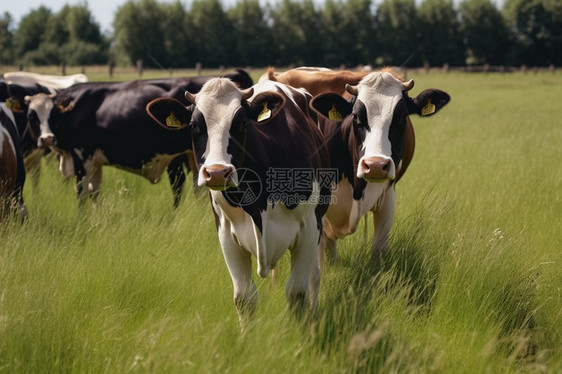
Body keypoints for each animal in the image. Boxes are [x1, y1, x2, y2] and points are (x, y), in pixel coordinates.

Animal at [25, 70, 252, 207]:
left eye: (51, 115)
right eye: (31, 116)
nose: (47, 139)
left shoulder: (82, 157)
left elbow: (81, 194)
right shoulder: (95, 163)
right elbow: (94, 193)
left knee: (181, 189)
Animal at [145, 79, 332, 324]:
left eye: (242, 123)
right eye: (194, 125)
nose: (216, 172)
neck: (257, 206)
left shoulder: (309, 227)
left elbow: (296, 292)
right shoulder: (226, 233)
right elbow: (244, 297)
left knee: (315, 275)